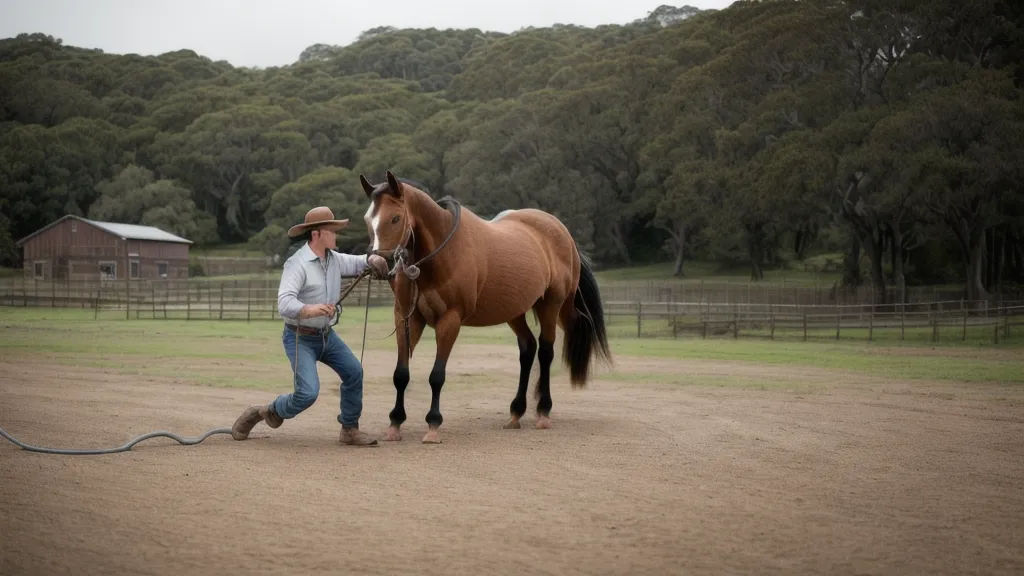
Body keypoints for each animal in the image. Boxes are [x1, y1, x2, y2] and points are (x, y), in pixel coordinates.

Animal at [358, 170, 612, 444]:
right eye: (367, 219)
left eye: (395, 218)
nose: (377, 263)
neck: (442, 255)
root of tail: (563, 233)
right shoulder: (407, 318)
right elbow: (401, 375)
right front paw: (395, 423)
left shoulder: (450, 320)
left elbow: (436, 376)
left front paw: (433, 425)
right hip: (514, 312)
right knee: (528, 349)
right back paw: (516, 413)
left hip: (550, 305)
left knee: (545, 352)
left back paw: (543, 412)